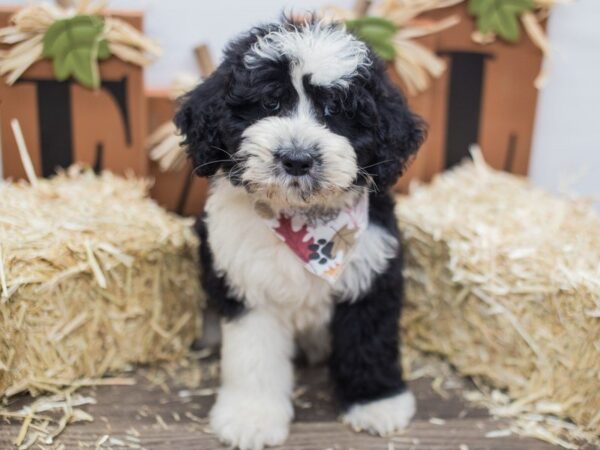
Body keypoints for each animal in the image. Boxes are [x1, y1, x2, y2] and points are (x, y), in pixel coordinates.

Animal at [176, 14, 424, 450]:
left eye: (335, 109)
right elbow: (254, 356)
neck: (303, 219)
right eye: (269, 103)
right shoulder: (249, 284)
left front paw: (377, 402)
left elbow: (370, 340)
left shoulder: (370, 269)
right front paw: (252, 417)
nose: (296, 158)